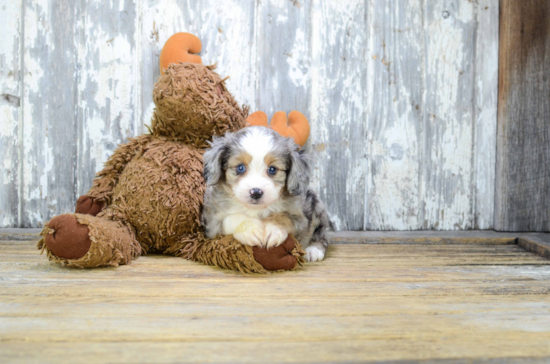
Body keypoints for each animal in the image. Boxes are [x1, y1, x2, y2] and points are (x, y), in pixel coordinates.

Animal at [203, 126, 332, 260]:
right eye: (240, 168)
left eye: (272, 169)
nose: (256, 192)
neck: (256, 209)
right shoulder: (211, 224)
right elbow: (231, 218)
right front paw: (251, 228)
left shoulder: (301, 219)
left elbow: (284, 216)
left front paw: (273, 229)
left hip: (317, 207)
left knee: (323, 232)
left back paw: (314, 250)